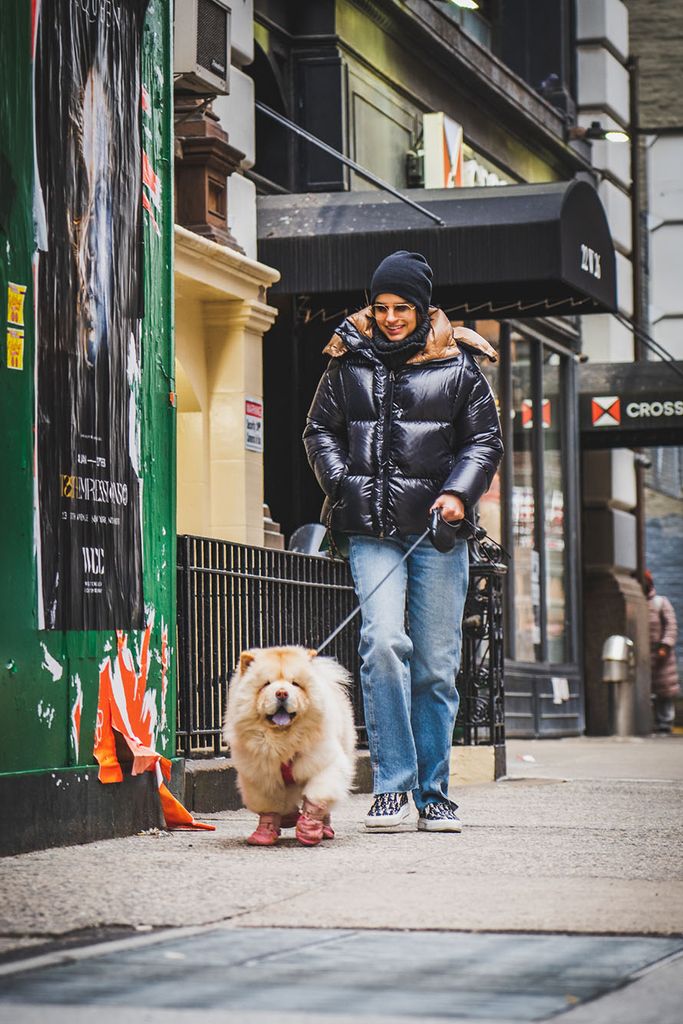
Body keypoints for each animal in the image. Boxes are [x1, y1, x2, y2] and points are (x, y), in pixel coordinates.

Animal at [224, 647, 358, 847]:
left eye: (295, 684)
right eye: (266, 684)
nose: (281, 693)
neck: (283, 741)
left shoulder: (325, 764)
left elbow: (317, 796)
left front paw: (309, 829)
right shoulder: (260, 776)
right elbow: (269, 805)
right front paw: (264, 832)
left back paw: (324, 828)